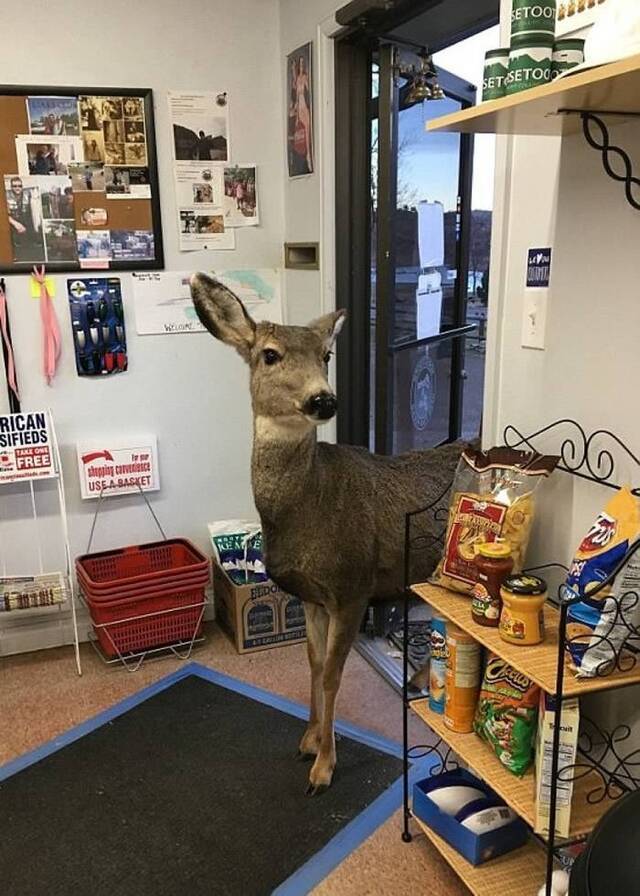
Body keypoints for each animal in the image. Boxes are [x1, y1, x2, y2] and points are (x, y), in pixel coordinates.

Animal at [190, 276, 464, 796]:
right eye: (270, 354)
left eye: (326, 355)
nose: (323, 399)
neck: (310, 508)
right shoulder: (312, 596)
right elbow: (314, 665)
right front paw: (308, 740)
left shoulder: (352, 589)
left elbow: (335, 674)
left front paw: (323, 768)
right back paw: (418, 680)